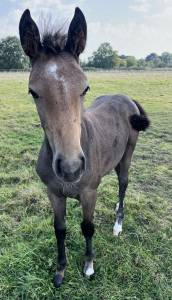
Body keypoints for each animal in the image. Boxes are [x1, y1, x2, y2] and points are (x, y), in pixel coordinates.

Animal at [19, 7, 150, 288]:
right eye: (33, 91)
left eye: (85, 87)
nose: (71, 168)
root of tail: (127, 98)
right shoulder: (54, 193)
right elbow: (59, 229)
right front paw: (60, 270)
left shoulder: (89, 193)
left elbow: (87, 227)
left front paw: (89, 266)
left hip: (127, 155)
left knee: (123, 183)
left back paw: (118, 224)